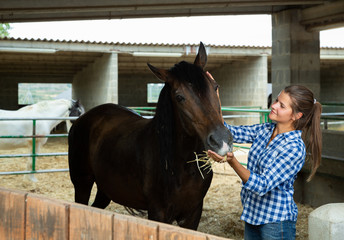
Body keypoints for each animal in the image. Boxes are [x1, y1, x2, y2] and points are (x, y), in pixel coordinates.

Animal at [68, 42, 232, 230]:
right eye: (179, 97)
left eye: (215, 86)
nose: (221, 140)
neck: (180, 165)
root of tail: (81, 120)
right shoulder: (158, 213)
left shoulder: (193, 214)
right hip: (82, 184)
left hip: (105, 188)